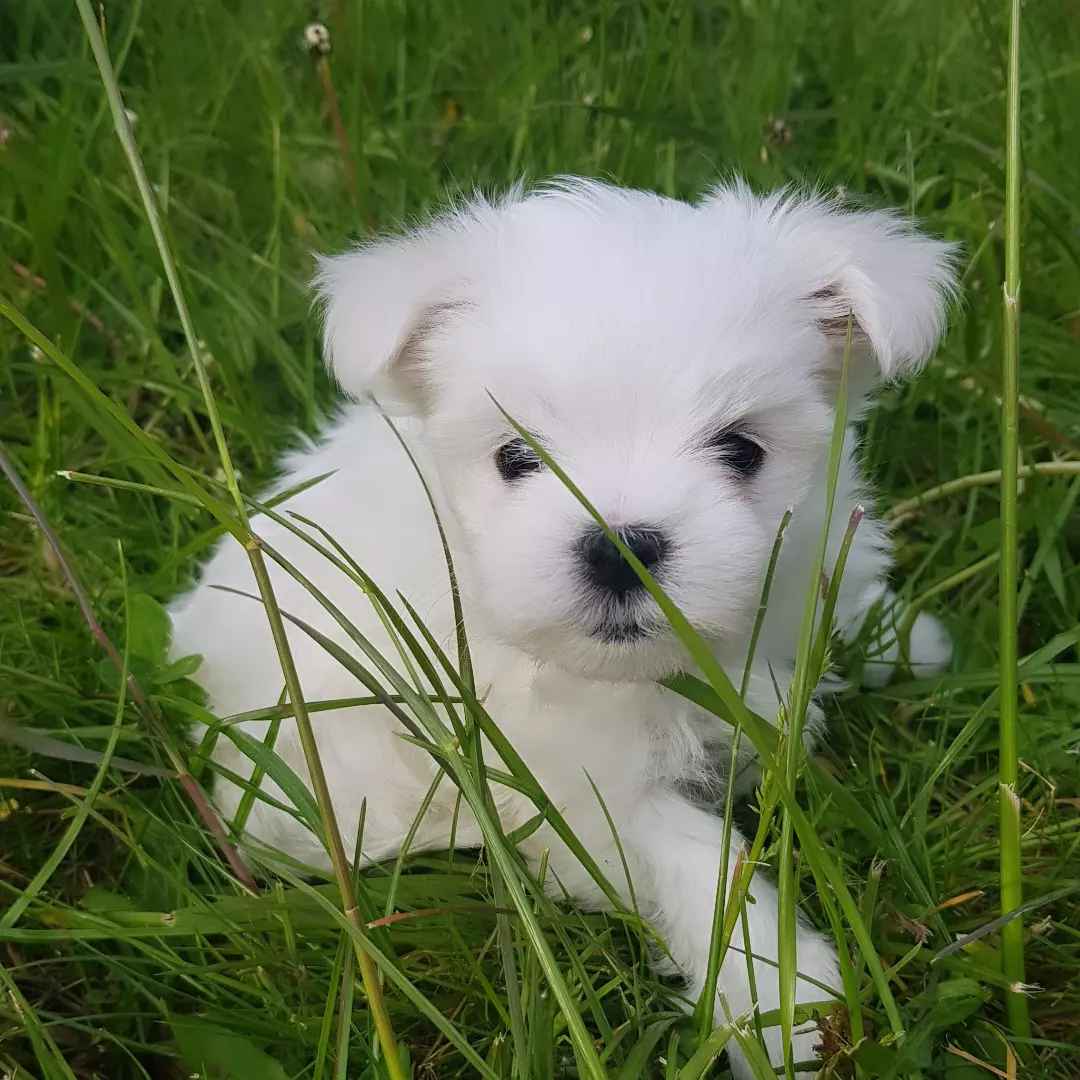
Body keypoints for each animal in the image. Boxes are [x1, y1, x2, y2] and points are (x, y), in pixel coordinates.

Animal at [168, 181, 954, 1075]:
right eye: (515, 457)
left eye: (742, 450)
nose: (619, 546)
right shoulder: (578, 791)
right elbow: (698, 861)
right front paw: (784, 1002)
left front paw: (901, 637)